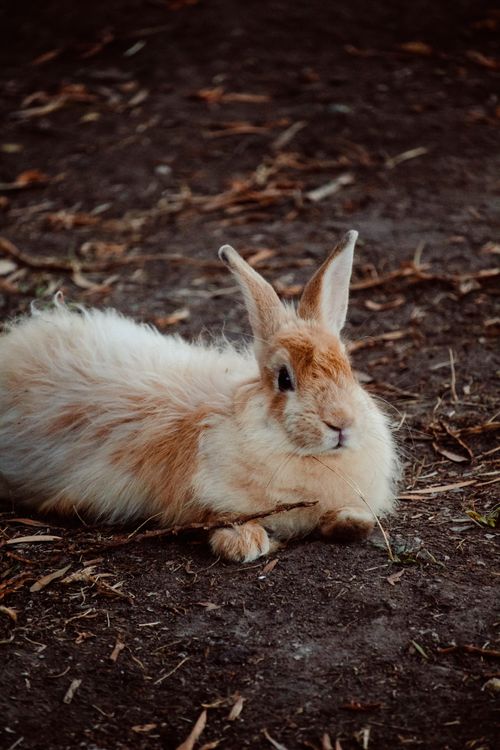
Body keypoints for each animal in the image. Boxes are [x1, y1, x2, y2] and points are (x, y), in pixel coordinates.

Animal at [0, 230, 399, 562]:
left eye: (347, 366)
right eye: (284, 379)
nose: (341, 423)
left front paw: (352, 522)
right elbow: (218, 516)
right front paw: (244, 544)